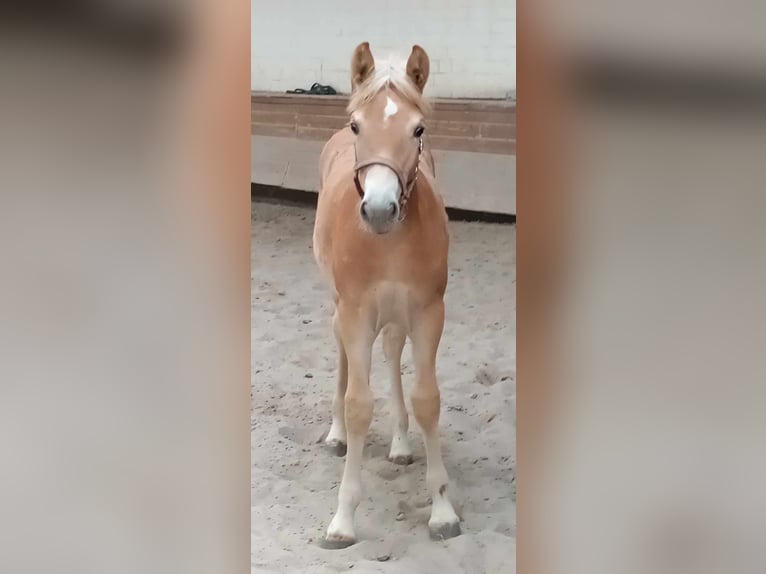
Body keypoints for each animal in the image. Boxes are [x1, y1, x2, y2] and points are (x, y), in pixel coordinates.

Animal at [312, 41, 462, 548]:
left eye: (418, 129)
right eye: (359, 125)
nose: (379, 209)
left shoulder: (428, 311)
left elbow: (426, 400)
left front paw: (442, 511)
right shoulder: (356, 312)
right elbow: (359, 405)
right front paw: (342, 520)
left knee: (394, 352)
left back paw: (399, 443)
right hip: (341, 308)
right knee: (342, 356)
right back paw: (336, 435)